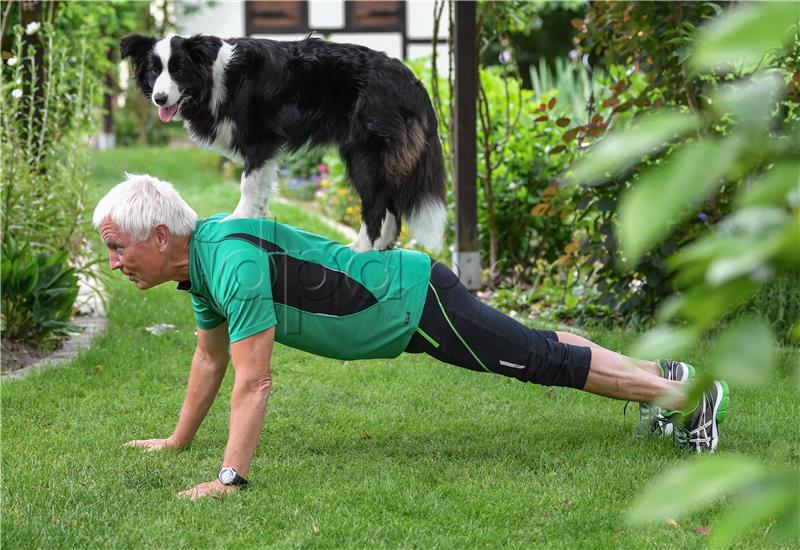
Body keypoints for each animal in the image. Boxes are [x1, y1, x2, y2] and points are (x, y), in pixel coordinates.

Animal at [118, 36, 446, 254]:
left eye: (179, 70)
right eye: (154, 71)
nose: (159, 98)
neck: (214, 78)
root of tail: (414, 82)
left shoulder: (260, 140)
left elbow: (248, 185)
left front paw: (237, 219)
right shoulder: (266, 149)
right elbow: (261, 187)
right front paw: (257, 218)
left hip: (363, 152)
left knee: (376, 204)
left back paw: (360, 249)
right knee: (391, 204)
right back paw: (383, 248)